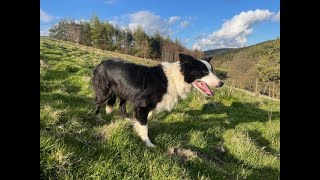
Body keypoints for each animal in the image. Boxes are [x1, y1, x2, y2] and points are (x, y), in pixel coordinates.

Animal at [91, 52, 224, 147]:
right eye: (204, 71)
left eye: (212, 71)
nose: (221, 83)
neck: (175, 78)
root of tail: (101, 63)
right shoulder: (142, 106)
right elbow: (144, 126)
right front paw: (148, 143)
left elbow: (145, 120)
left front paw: (136, 126)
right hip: (105, 92)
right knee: (97, 103)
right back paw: (98, 118)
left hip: (124, 91)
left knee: (121, 105)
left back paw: (126, 118)